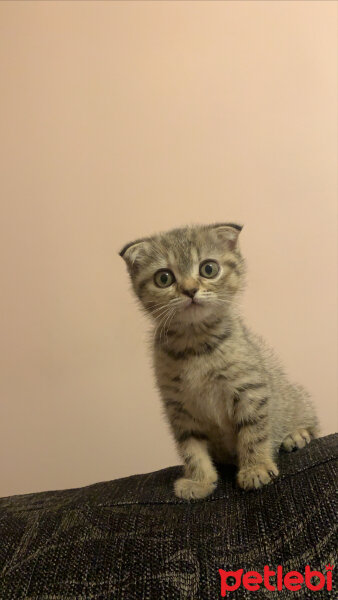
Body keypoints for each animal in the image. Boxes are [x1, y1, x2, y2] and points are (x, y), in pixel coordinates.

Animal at [119, 223, 320, 500]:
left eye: (209, 269)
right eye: (164, 278)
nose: (190, 290)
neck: (195, 346)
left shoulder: (250, 390)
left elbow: (253, 433)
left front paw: (255, 468)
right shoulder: (178, 408)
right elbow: (191, 449)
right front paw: (200, 481)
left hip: (295, 396)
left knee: (312, 423)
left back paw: (297, 435)